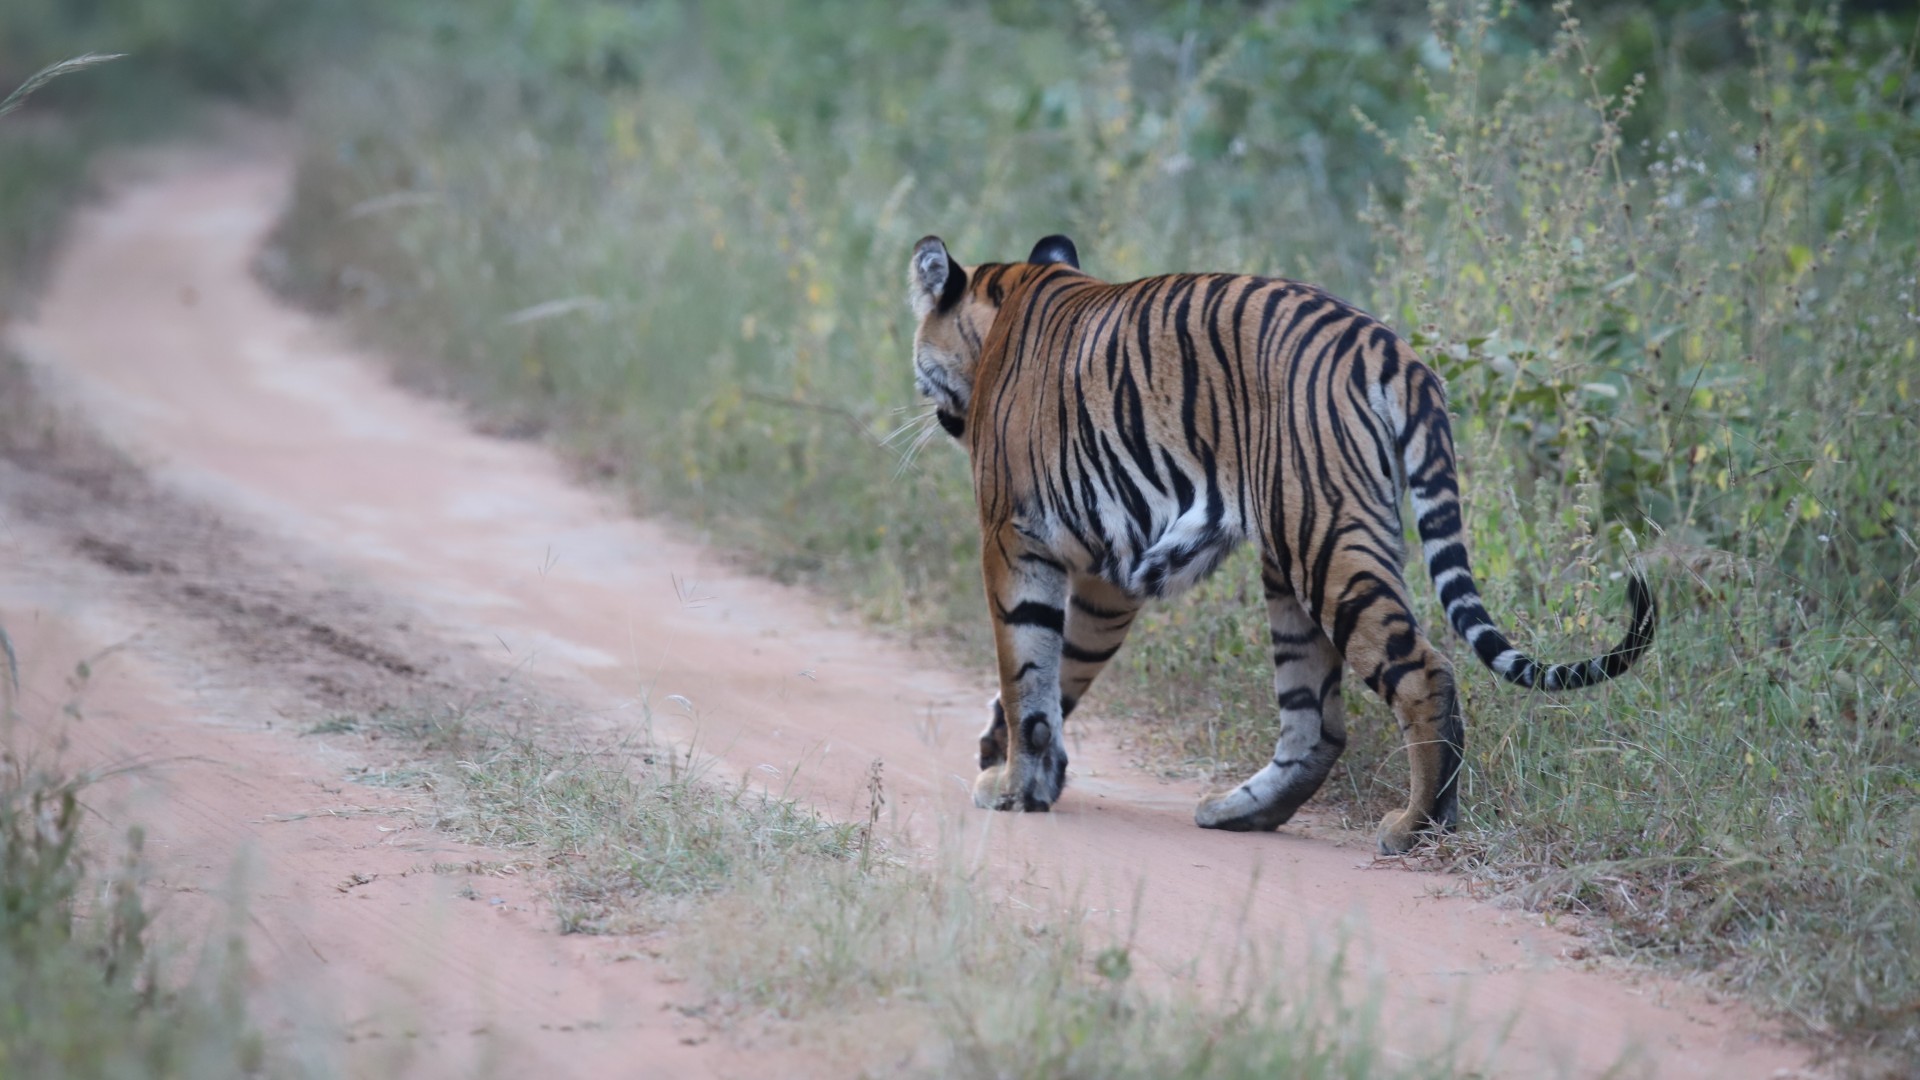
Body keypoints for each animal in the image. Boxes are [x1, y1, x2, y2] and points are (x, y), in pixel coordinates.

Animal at [906, 228, 1658, 849]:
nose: (932, 410)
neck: (1011, 295)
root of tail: (1393, 348)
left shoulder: (1014, 537)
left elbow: (1027, 668)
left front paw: (1012, 785)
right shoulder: (1106, 575)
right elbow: (1066, 668)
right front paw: (1024, 765)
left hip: (1327, 543)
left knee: (1423, 674)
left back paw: (1415, 827)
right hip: (1293, 562)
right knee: (1317, 722)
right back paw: (1241, 812)